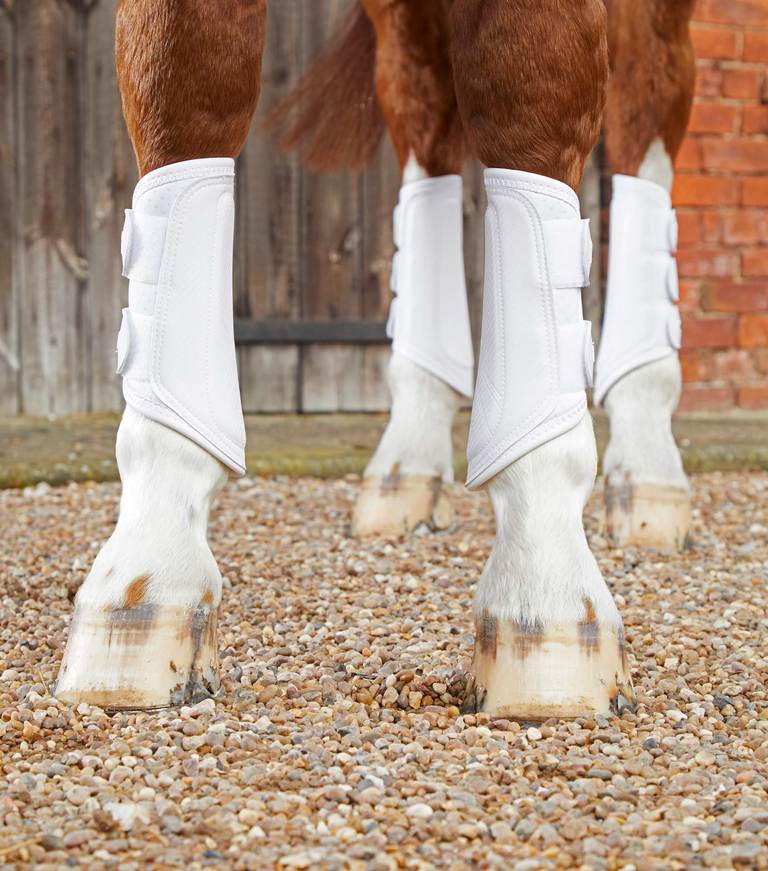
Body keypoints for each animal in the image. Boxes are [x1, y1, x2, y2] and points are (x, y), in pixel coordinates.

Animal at [54, 0, 696, 724]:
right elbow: (183, 98)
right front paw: (142, 584)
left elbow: (530, 115)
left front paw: (544, 596)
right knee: (426, 130)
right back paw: (406, 467)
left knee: (648, 107)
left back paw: (648, 476)